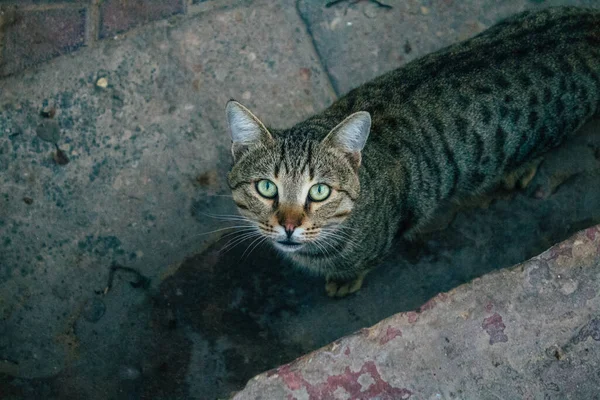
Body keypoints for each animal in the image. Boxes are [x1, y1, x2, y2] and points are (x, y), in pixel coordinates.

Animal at [224, 6, 600, 296]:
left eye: (319, 191)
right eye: (266, 187)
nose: (288, 225)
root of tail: (587, 23)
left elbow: (359, 265)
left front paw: (344, 281)